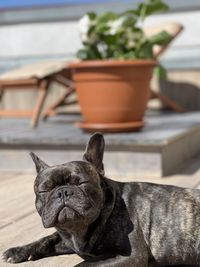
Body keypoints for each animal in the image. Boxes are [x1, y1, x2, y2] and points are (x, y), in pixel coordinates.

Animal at [1, 133, 200, 266]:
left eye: (81, 182)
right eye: (45, 189)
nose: (63, 192)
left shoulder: (130, 256)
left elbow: (82, 265)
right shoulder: (67, 238)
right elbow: (48, 238)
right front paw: (18, 251)